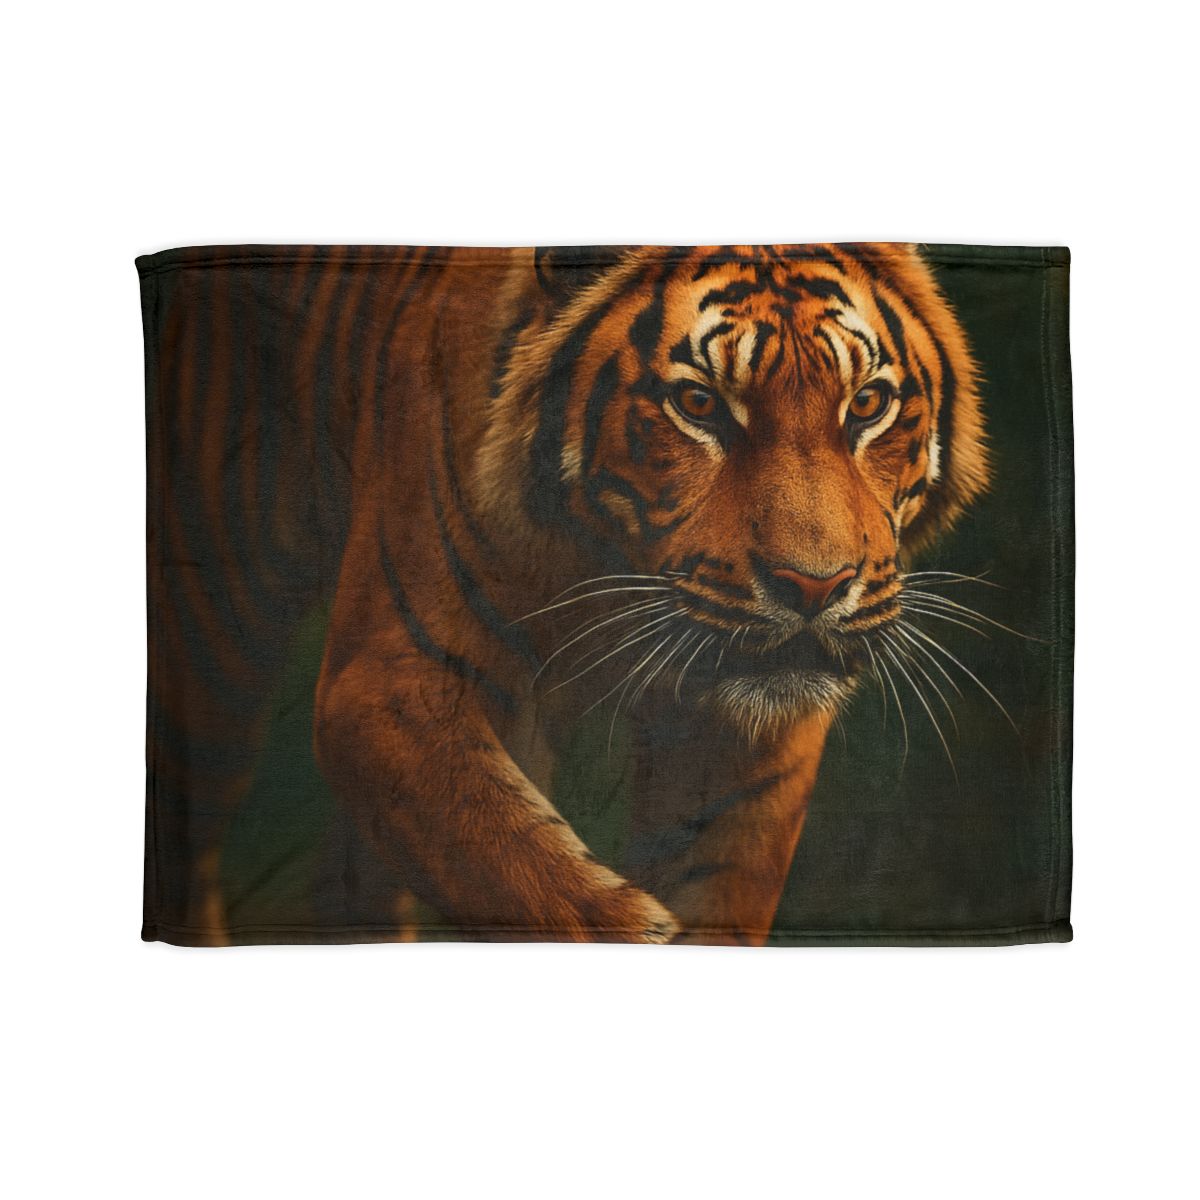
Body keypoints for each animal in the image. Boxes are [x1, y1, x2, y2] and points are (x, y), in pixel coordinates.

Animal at [138, 242, 987, 945]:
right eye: (700, 405)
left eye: (867, 404)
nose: (815, 587)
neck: (605, 577)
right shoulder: (386, 687)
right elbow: (531, 878)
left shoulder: (748, 745)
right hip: (217, 625)